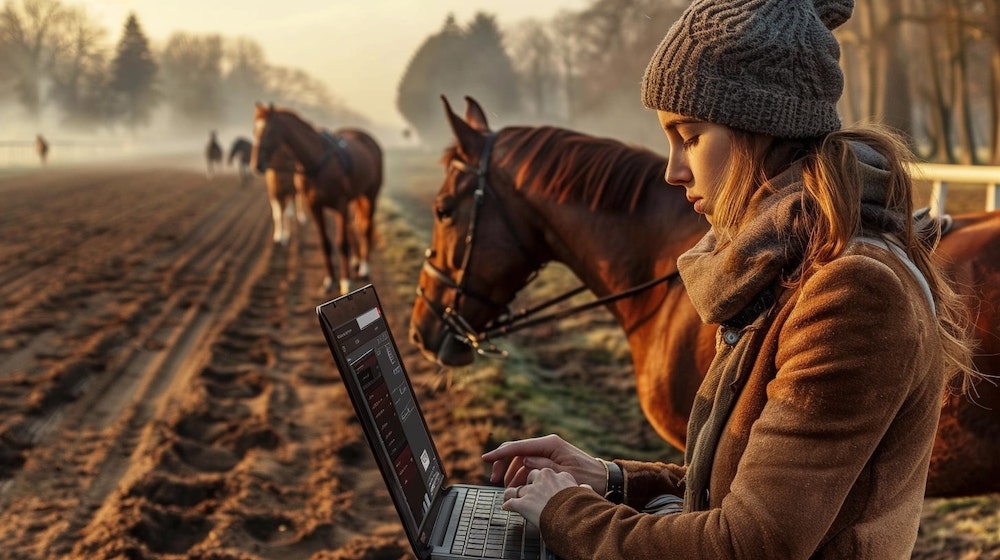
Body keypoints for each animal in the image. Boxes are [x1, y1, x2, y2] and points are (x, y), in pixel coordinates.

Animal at [252, 101, 384, 296]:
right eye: (254, 130)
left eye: (269, 131)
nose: (256, 164)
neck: (317, 163)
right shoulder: (315, 207)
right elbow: (325, 243)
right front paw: (329, 281)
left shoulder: (340, 205)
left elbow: (341, 243)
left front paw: (345, 282)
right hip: (355, 198)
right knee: (354, 226)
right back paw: (357, 261)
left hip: (370, 195)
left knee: (365, 228)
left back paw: (364, 268)